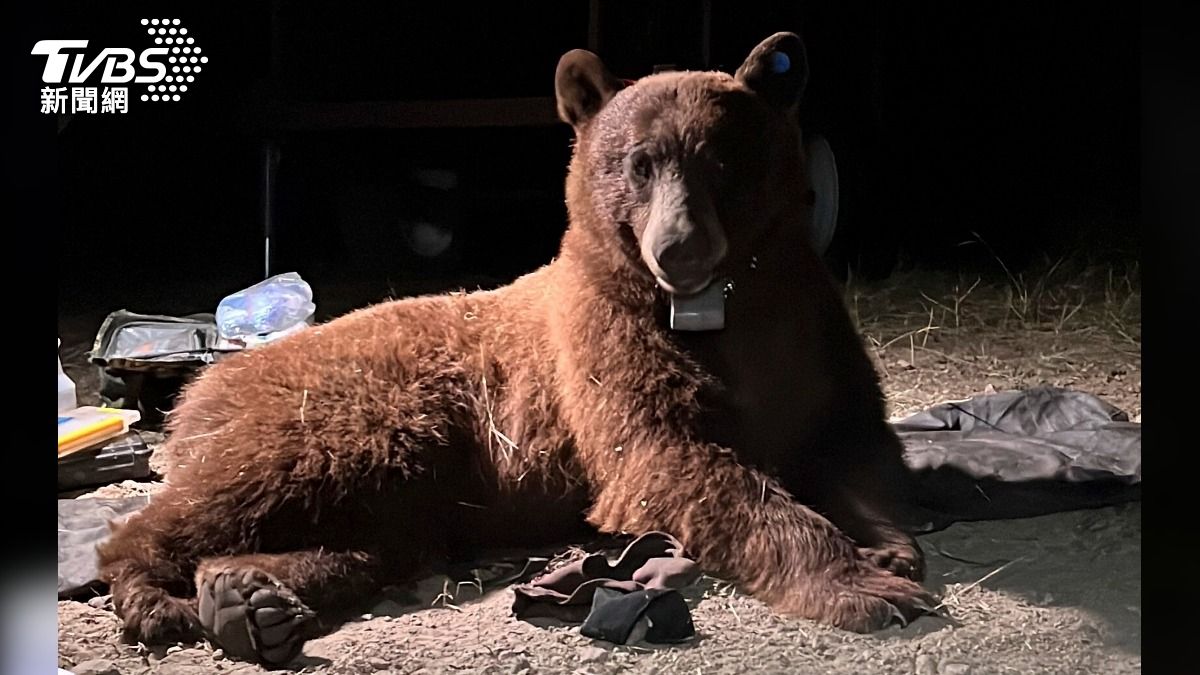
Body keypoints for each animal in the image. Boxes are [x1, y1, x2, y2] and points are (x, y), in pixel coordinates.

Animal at [96, 32, 933, 666]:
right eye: (638, 162)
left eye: (721, 160)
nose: (680, 247)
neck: (716, 307)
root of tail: (206, 386)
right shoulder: (607, 350)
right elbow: (676, 459)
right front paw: (863, 584)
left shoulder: (812, 331)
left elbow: (855, 439)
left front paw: (888, 548)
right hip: (341, 419)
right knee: (228, 496)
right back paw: (161, 595)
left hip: (401, 474)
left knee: (375, 540)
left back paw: (249, 596)